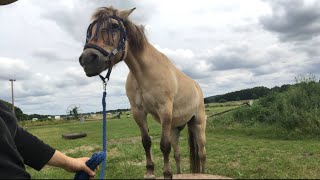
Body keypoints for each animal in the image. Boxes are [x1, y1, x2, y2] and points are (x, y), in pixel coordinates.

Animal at [79, 6, 206, 179]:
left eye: (114, 26)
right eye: (90, 30)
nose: (86, 60)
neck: (144, 73)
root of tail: (197, 86)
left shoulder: (164, 110)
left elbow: (164, 145)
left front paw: (167, 173)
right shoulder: (138, 112)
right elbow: (146, 142)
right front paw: (150, 171)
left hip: (198, 124)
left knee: (202, 153)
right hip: (176, 128)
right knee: (178, 154)